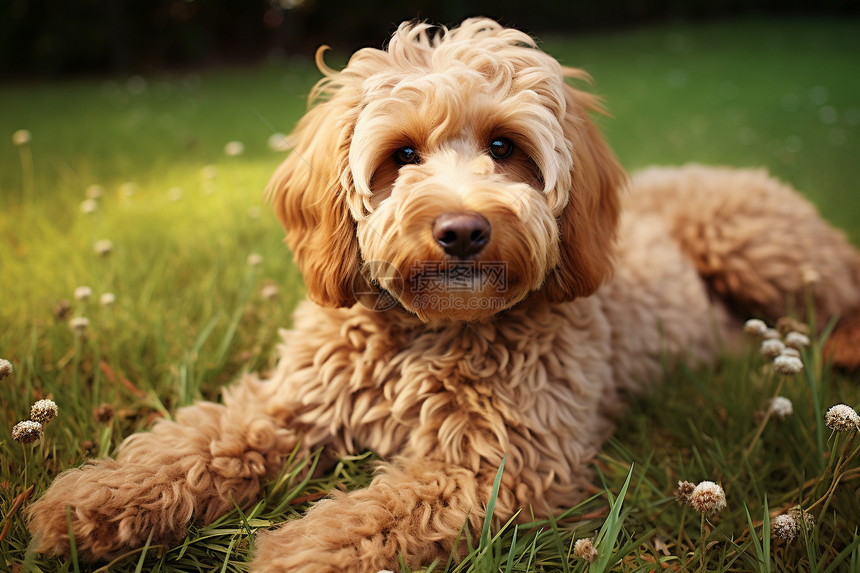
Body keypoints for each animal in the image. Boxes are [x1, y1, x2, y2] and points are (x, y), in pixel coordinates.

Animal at [26, 15, 860, 568]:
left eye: (504, 147)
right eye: (401, 155)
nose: (462, 230)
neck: (427, 333)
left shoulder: (507, 464)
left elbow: (379, 511)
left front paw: (293, 552)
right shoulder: (290, 404)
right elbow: (197, 442)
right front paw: (98, 502)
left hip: (756, 243)